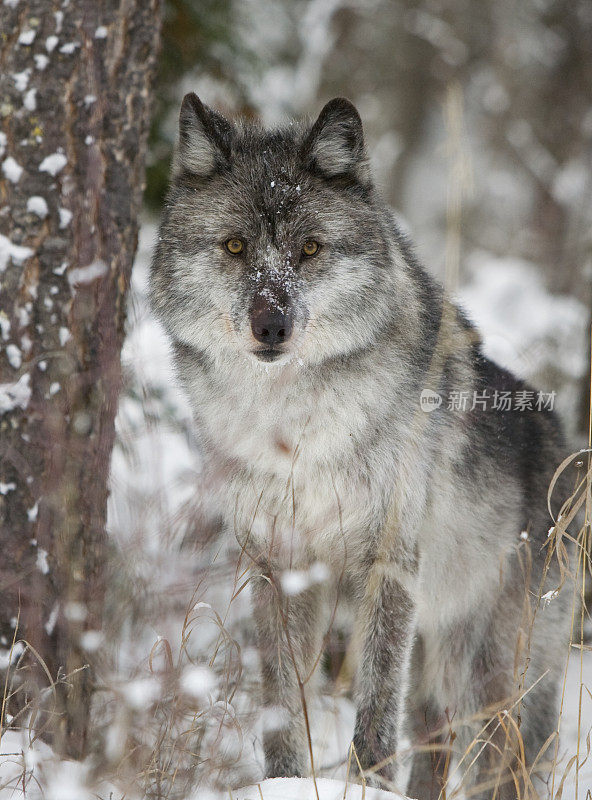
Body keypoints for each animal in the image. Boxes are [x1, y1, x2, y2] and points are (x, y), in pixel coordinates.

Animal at [150, 95, 576, 800]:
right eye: (235, 246)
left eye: (310, 248)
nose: (271, 326)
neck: (296, 431)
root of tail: (568, 444)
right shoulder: (279, 564)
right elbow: (280, 703)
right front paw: (287, 780)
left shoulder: (389, 562)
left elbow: (375, 706)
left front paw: (366, 783)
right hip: (441, 672)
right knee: (435, 744)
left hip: (487, 678)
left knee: (501, 763)